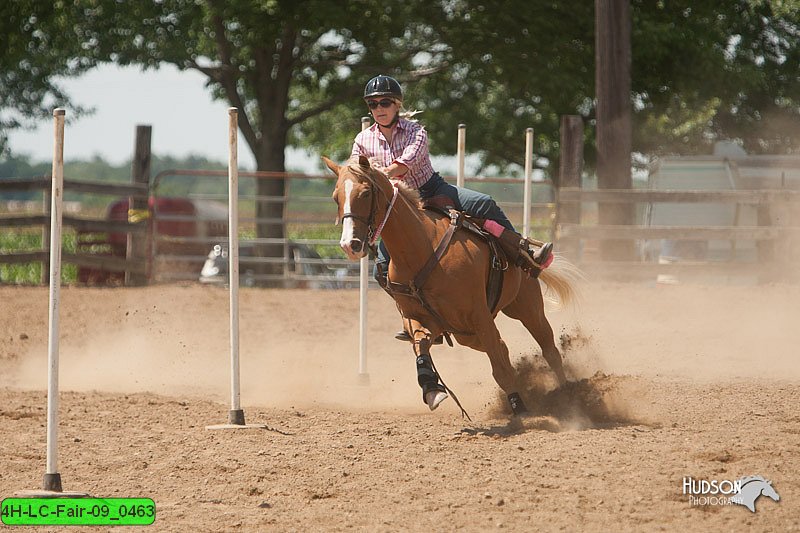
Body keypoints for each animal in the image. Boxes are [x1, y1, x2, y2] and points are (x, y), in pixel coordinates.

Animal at [324, 155, 580, 416]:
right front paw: (432, 389)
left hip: (527, 307)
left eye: (365, 193)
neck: (420, 249)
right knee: (502, 346)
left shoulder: (479, 315)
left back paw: (569, 394)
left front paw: (520, 409)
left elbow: (500, 369)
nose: (350, 245)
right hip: (466, 334)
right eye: (336, 197)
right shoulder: (421, 319)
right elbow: (421, 346)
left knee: (548, 350)